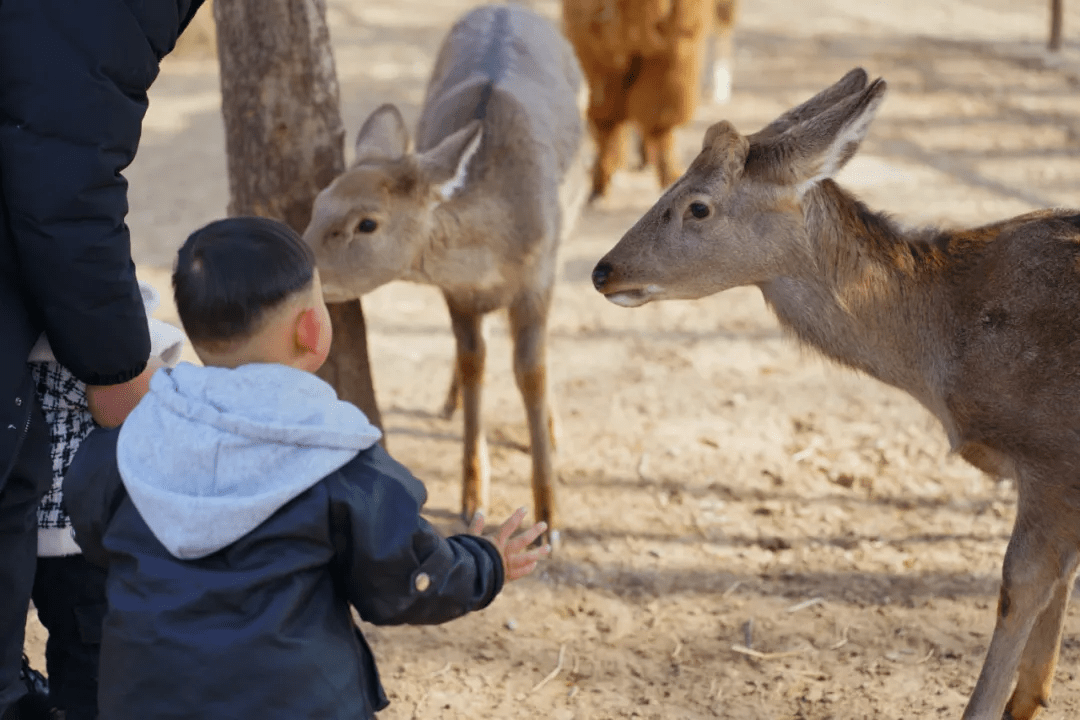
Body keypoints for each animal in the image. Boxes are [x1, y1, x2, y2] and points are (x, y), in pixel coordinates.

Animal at [304, 4, 591, 546]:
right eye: (318, 201)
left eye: (367, 222)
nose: (298, 259)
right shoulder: (455, 293)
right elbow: (474, 361)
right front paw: (472, 497)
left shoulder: (538, 276)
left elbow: (531, 371)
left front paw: (550, 518)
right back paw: (449, 400)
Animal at [591, 66, 1080, 716]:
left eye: (698, 206)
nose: (604, 270)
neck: (947, 344)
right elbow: (1058, 592)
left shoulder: (1051, 454)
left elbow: (1021, 586)